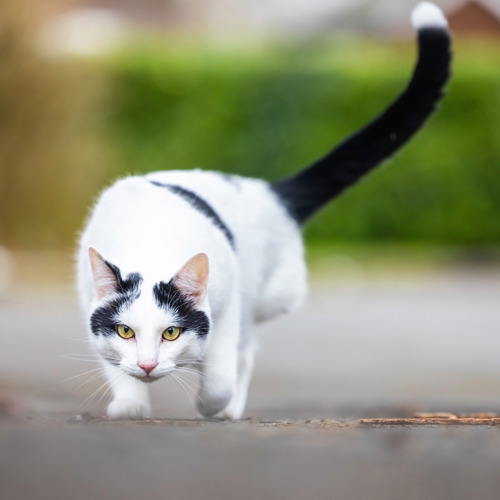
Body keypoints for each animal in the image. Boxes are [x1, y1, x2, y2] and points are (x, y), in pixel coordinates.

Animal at [77, 1, 454, 420]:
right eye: (125, 331)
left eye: (170, 332)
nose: (147, 364)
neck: (151, 239)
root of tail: (267, 191)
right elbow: (114, 363)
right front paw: (130, 402)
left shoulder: (226, 308)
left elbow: (221, 376)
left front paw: (213, 405)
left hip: (272, 294)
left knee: (248, 347)